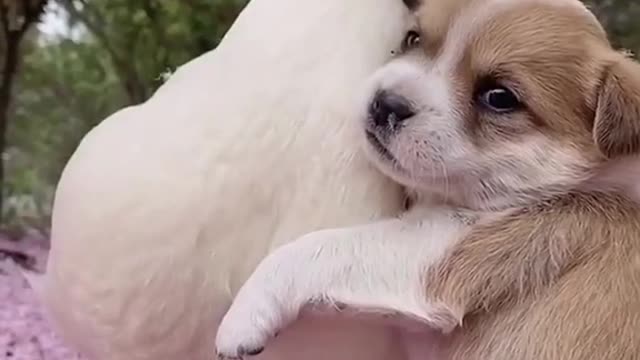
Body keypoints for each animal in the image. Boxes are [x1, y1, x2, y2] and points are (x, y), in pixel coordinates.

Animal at [214, 0, 640, 358]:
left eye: (499, 97)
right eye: (412, 39)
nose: (384, 104)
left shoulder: (442, 247)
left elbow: (320, 250)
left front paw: (243, 316)